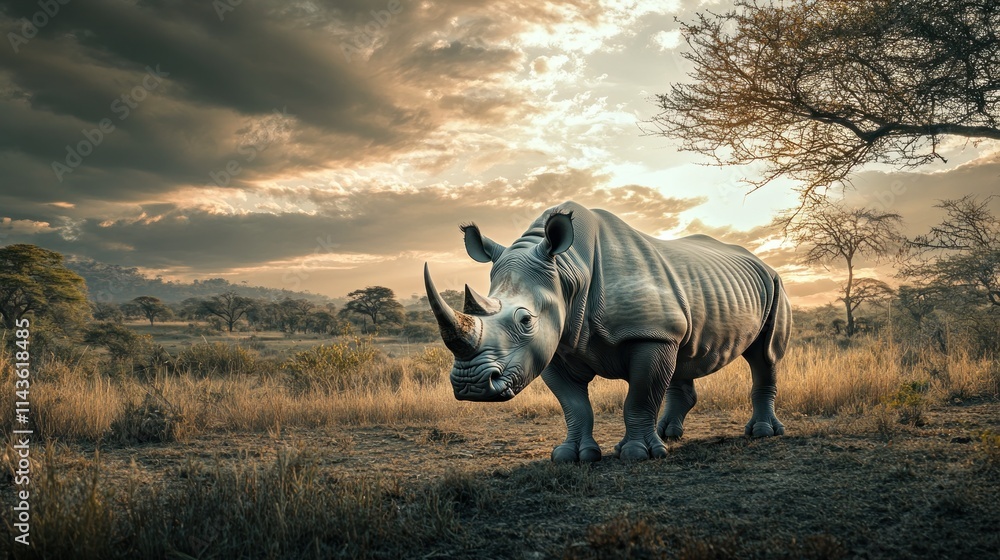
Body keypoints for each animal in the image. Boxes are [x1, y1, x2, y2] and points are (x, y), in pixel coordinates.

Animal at [424, 201, 791, 462]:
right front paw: (572, 456)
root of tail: (763, 263)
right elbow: (574, 405)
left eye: (526, 321)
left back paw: (762, 433)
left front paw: (637, 454)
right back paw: (668, 435)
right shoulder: (554, 347)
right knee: (683, 353)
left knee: (765, 356)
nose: (471, 385)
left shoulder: (648, 333)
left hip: (775, 285)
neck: (567, 272)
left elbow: (640, 395)